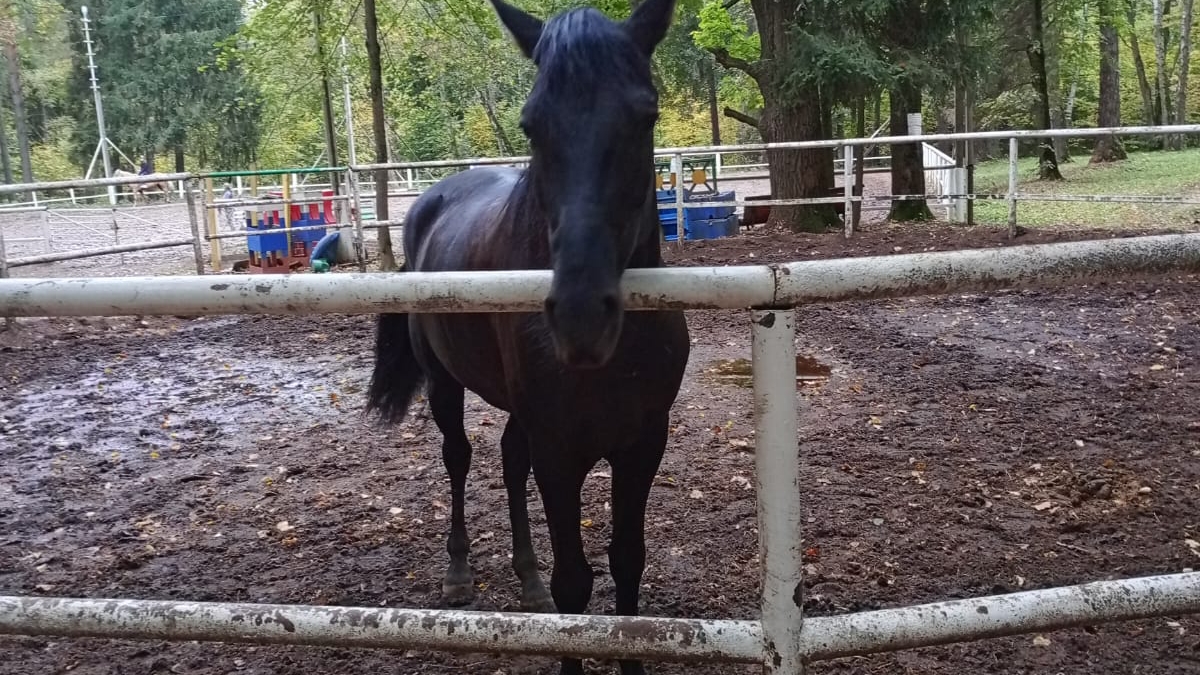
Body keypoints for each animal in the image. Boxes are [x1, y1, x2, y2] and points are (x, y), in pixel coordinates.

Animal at [362, 0, 686, 667]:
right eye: (531, 124)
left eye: (645, 116)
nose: (582, 315)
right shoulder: (559, 450)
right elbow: (575, 583)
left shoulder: (643, 444)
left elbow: (627, 564)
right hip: (445, 386)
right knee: (458, 458)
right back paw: (459, 572)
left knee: (510, 463)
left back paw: (526, 575)